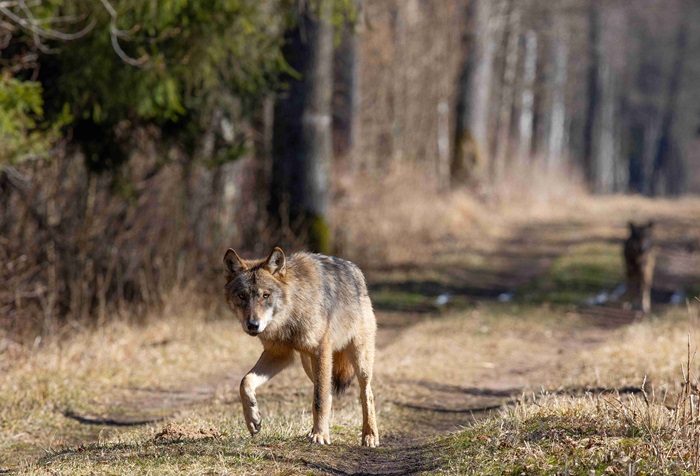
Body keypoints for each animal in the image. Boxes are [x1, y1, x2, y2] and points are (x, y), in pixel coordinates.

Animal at [223, 247, 378, 448]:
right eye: (242, 296)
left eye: (266, 295)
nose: (253, 325)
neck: (291, 313)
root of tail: (357, 272)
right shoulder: (278, 354)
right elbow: (245, 381)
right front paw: (252, 419)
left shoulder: (321, 350)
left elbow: (319, 400)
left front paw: (320, 435)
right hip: (309, 365)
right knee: (328, 393)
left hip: (358, 361)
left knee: (366, 393)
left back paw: (370, 436)